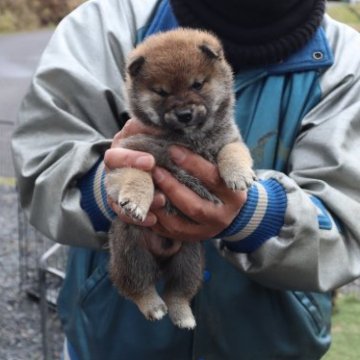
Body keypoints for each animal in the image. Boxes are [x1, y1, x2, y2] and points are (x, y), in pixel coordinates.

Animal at [105, 28, 255, 330]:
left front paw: (239, 175)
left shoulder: (229, 139)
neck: (188, 139)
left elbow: (233, 151)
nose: (184, 114)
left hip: (189, 260)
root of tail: (161, 260)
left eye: (197, 85)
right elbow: (139, 176)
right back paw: (152, 306)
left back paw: (183, 316)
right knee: (136, 286)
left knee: (178, 292)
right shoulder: (135, 153)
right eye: (162, 92)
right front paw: (136, 201)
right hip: (130, 250)